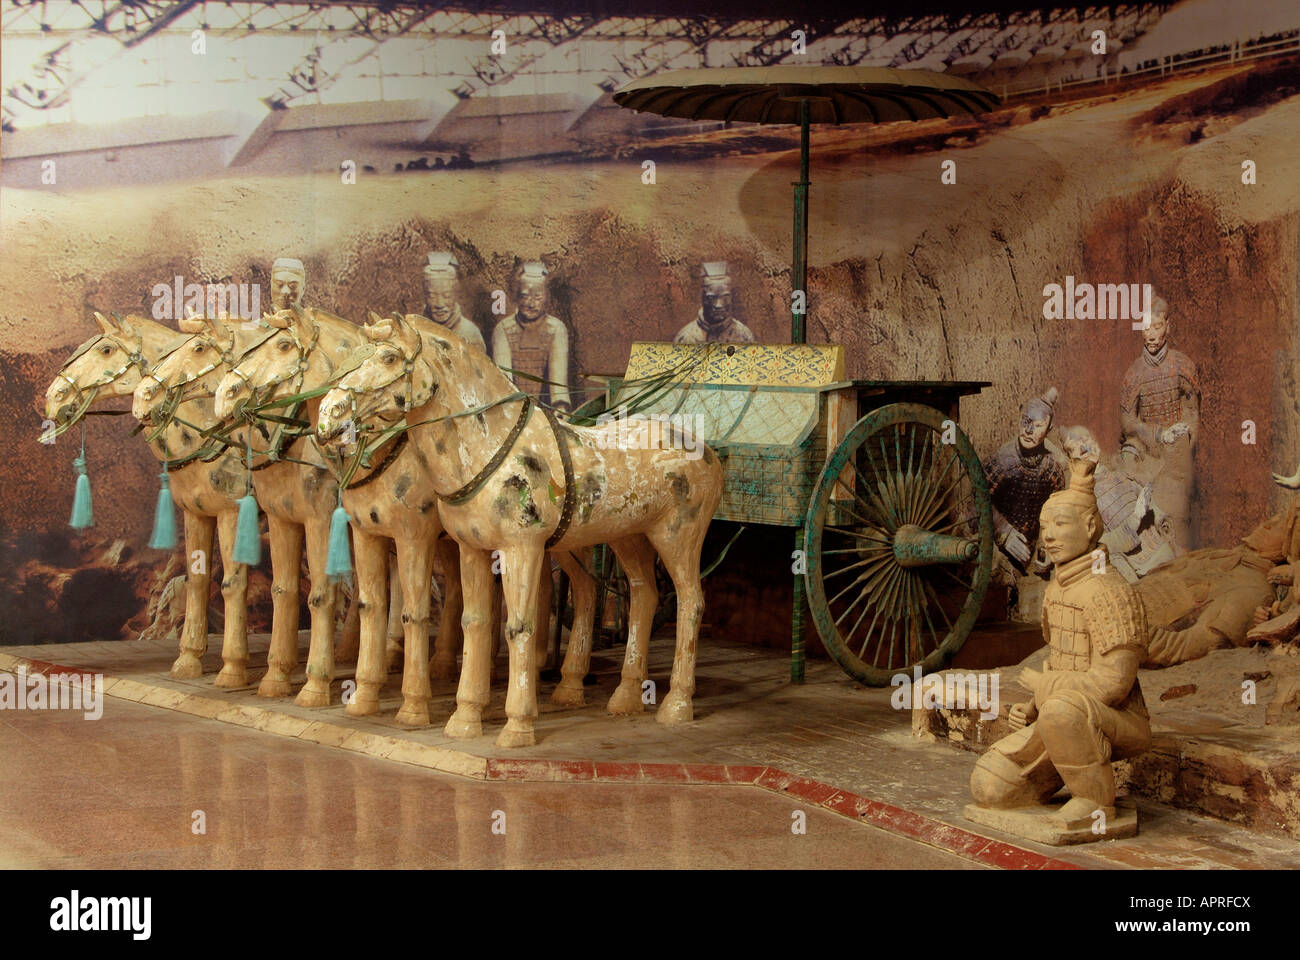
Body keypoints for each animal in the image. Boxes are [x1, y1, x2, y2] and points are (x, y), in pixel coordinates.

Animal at [314, 310, 722, 744]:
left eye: (390, 357)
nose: (330, 416)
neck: (489, 445)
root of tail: (707, 451)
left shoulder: (520, 549)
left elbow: (519, 627)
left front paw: (517, 726)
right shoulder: (471, 549)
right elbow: (476, 623)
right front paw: (465, 718)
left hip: (677, 539)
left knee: (690, 603)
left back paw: (676, 705)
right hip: (628, 538)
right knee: (644, 597)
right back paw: (626, 697)